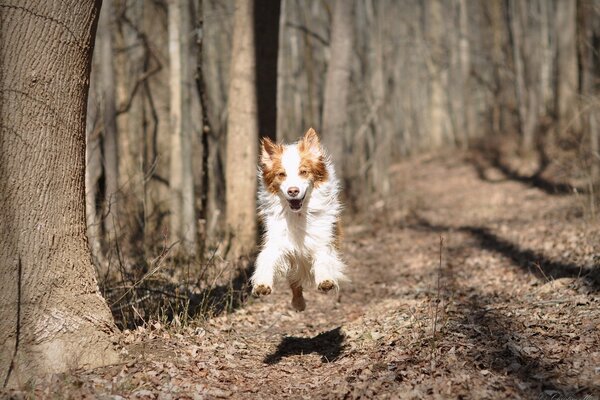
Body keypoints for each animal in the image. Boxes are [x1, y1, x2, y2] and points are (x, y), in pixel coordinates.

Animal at [250, 128, 346, 312]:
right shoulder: (276, 241)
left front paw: (325, 281)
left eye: (303, 172)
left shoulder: (322, 238)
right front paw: (262, 284)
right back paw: (299, 303)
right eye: (281, 174)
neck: (298, 214)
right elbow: (266, 259)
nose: (293, 191)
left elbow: (323, 258)